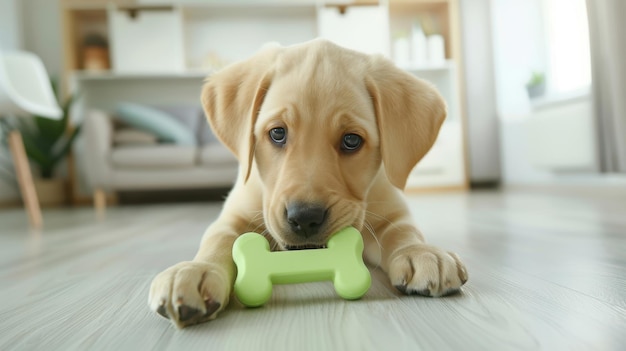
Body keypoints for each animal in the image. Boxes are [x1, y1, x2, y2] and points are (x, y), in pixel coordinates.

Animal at [149, 40, 466, 328]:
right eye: (277, 133)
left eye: (351, 140)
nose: (304, 218)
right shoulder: (234, 215)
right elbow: (219, 239)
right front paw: (197, 270)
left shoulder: (391, 210)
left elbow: (403, 231)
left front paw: (421, 253)